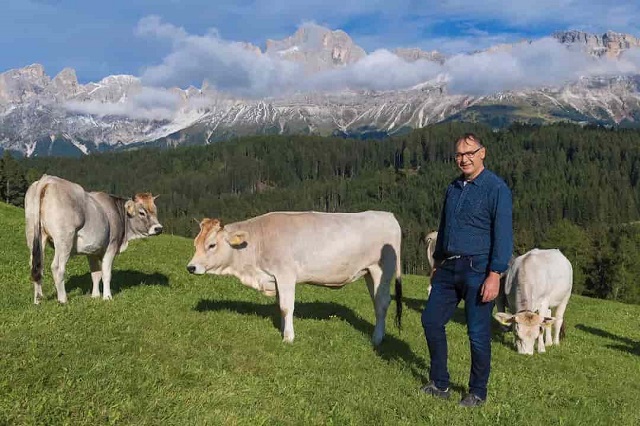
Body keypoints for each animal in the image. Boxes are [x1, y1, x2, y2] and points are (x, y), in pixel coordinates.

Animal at [24, 175, 165, 304]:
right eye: (142, 212)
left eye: (155, 210)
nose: (158, 228)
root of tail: (47, 180)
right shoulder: (111, 247)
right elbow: (106, 274)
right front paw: (107, 297)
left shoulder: (91, 250)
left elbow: (96, 274)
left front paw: (95, 296)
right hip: (64, 240)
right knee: (57, 267)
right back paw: (63, 299)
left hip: (34, 235)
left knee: (36, 265)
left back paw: (38, 300)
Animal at [188, 211, 402, 346]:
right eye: (195, 243)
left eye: (212, 245)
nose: (191, 267)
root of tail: (388, 215)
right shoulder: (275, 279)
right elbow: (280, 306)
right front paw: (283, 328)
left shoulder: (285, 274)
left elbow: (286, 307)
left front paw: (288, 337)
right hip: (368, 273)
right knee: (377, 301)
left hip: (382, 270)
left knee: (382, 303)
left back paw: (377, 339)